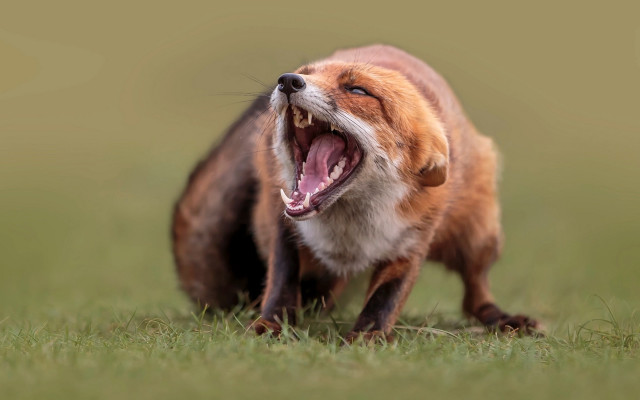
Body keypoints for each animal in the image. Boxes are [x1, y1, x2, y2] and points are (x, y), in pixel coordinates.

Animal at [171, 44, 538, 340]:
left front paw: (367, 338)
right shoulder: (283, 222)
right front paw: (272, 325)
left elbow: (385, 299)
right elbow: (281, 282)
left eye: (358, 89)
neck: (349, 231)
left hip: (480, 235)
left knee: (475, 292)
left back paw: (499, 317)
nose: (288, 81)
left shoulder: (412, 239)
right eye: (305, 74)